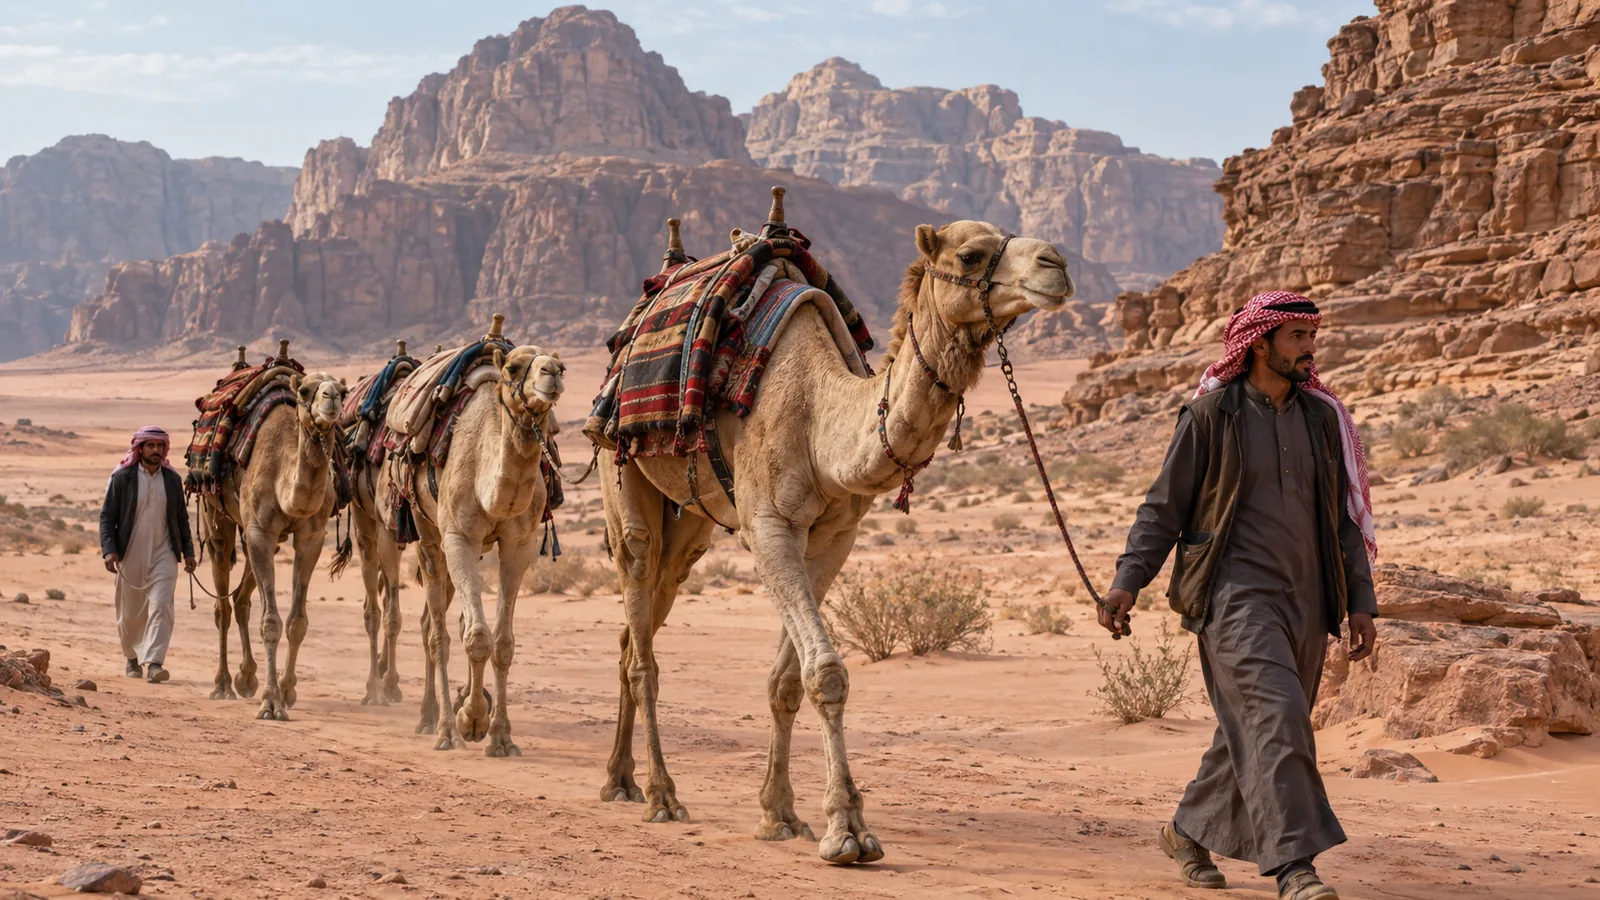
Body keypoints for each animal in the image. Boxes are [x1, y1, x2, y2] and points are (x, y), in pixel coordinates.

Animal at [201, 351, 348, 721]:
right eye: (306, 390)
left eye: (343, 389)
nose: (331, 399)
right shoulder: (259, 532)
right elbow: (270, 622)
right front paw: (270, 702)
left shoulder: (311, 537)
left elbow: (297, 622)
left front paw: (287, 690)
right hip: (217, 517)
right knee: (223, 603)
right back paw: (222, 684)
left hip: (267, 538)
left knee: (241, 600)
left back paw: (246, 678)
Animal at [382, 337, 566, 756]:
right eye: (513, 368)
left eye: (560, 364)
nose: (552, 374)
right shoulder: (459, 538)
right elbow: (477, 638)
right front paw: (470, 721)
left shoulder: (519, 544)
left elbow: (502, 642)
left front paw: (499, 735)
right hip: (427, 531)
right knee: (436, 632)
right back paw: (438, 725)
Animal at [598, 205, 1074, 865]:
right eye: (970, 256)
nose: (1057, 264)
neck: (821, 420)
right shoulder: (769, 527)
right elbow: (825, 672)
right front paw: (847, 830)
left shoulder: (834, 537)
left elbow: (787, 680)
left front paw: (780, 814)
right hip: (621, 472)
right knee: (642, 631)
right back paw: (661, 796)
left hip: (689, 522)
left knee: (633, 632)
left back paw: (619, 780)